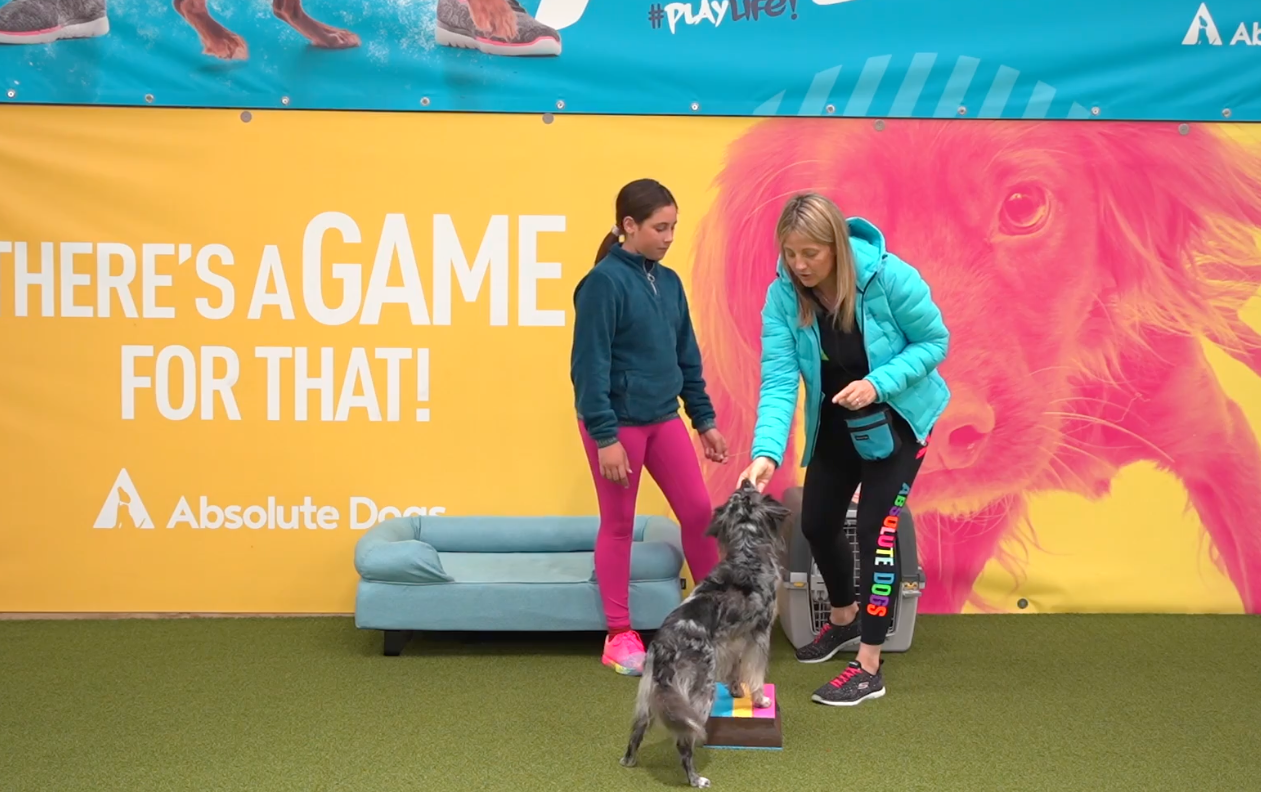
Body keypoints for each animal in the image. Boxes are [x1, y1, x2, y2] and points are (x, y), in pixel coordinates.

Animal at [615, 479, 781, 786]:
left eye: (739, 493)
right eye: (748, 492)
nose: (746, 479)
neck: (746, 552)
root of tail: (665, 645)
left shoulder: (733, 639)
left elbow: (736, 670)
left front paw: (736, 690)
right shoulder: (759, 635)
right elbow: (755, 674)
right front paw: (760, 699)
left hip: (649, 692)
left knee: (638, 728)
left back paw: (629, 760)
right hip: (700, 695)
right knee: (684, 742)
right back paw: (695, 778)